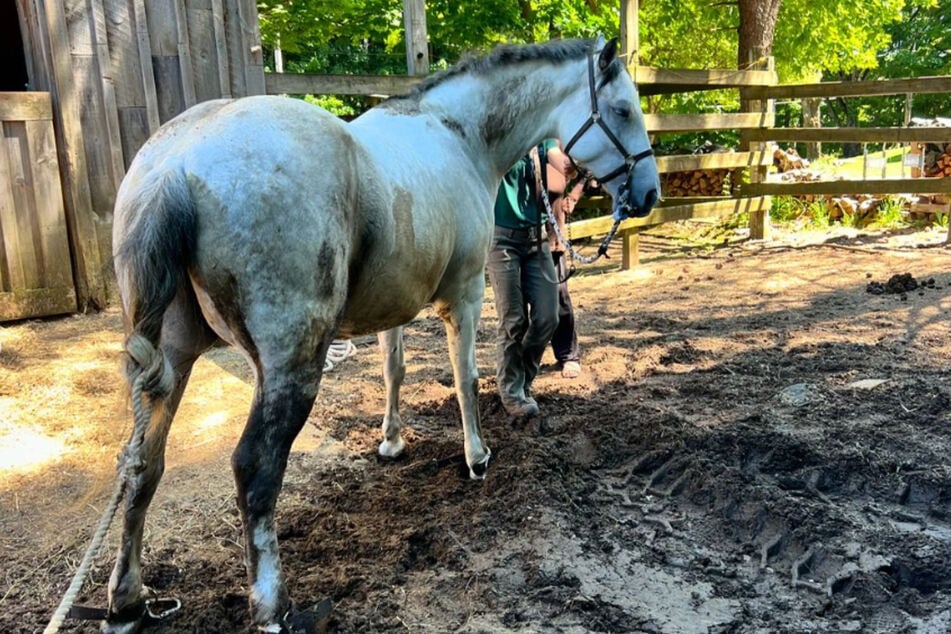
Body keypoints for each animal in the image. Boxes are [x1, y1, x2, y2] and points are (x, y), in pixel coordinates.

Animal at [104, 35, 656, 632]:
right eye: (622, 111)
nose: (649, 193)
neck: (457, 134)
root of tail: (177, 165)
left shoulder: (393, 308)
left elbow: (395, 371)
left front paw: (391, 442)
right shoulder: (466, 294)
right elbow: (465, 378)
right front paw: (477, 456)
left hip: (172, 358)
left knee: (141, 465)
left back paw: (126, 601)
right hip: (291, 366)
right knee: (254, 468)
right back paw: (274, 606)